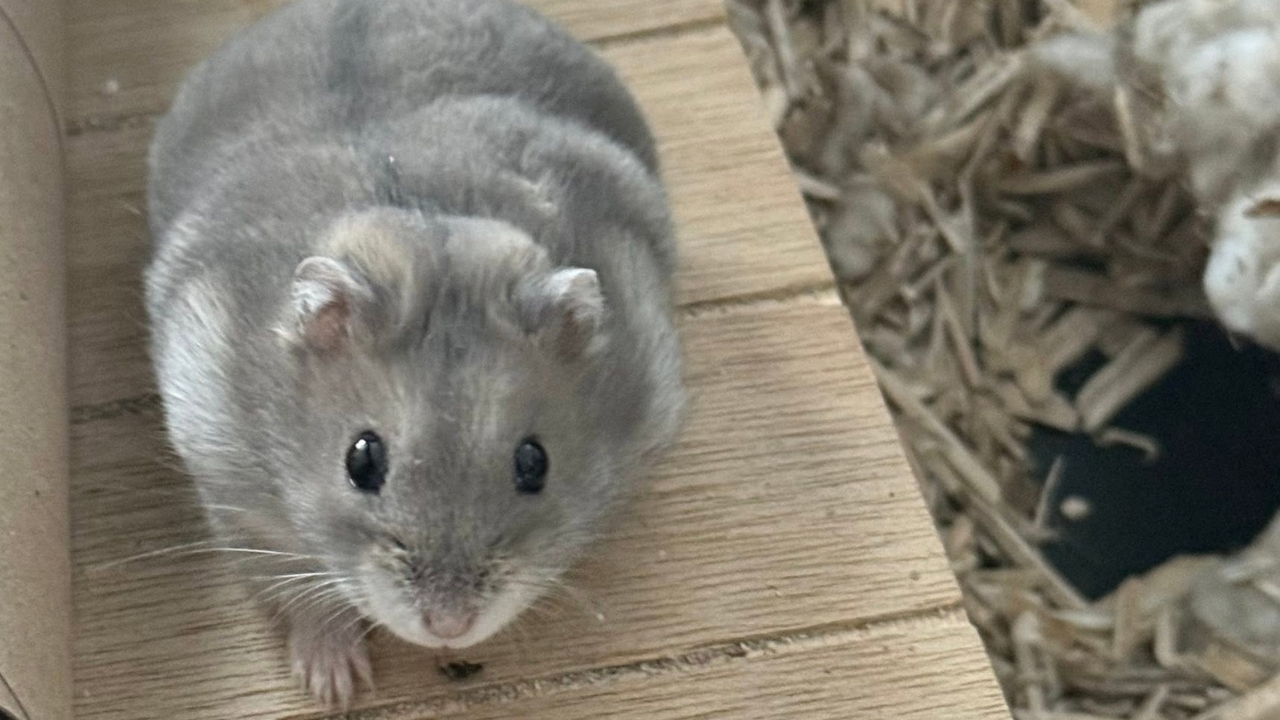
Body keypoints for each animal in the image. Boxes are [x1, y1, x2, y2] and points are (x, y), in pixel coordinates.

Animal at [143, 0, 686, 707]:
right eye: (361, 460)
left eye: (534, 463)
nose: (449, 627)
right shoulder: (231, 486)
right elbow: (294, 589)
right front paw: (336, 688)